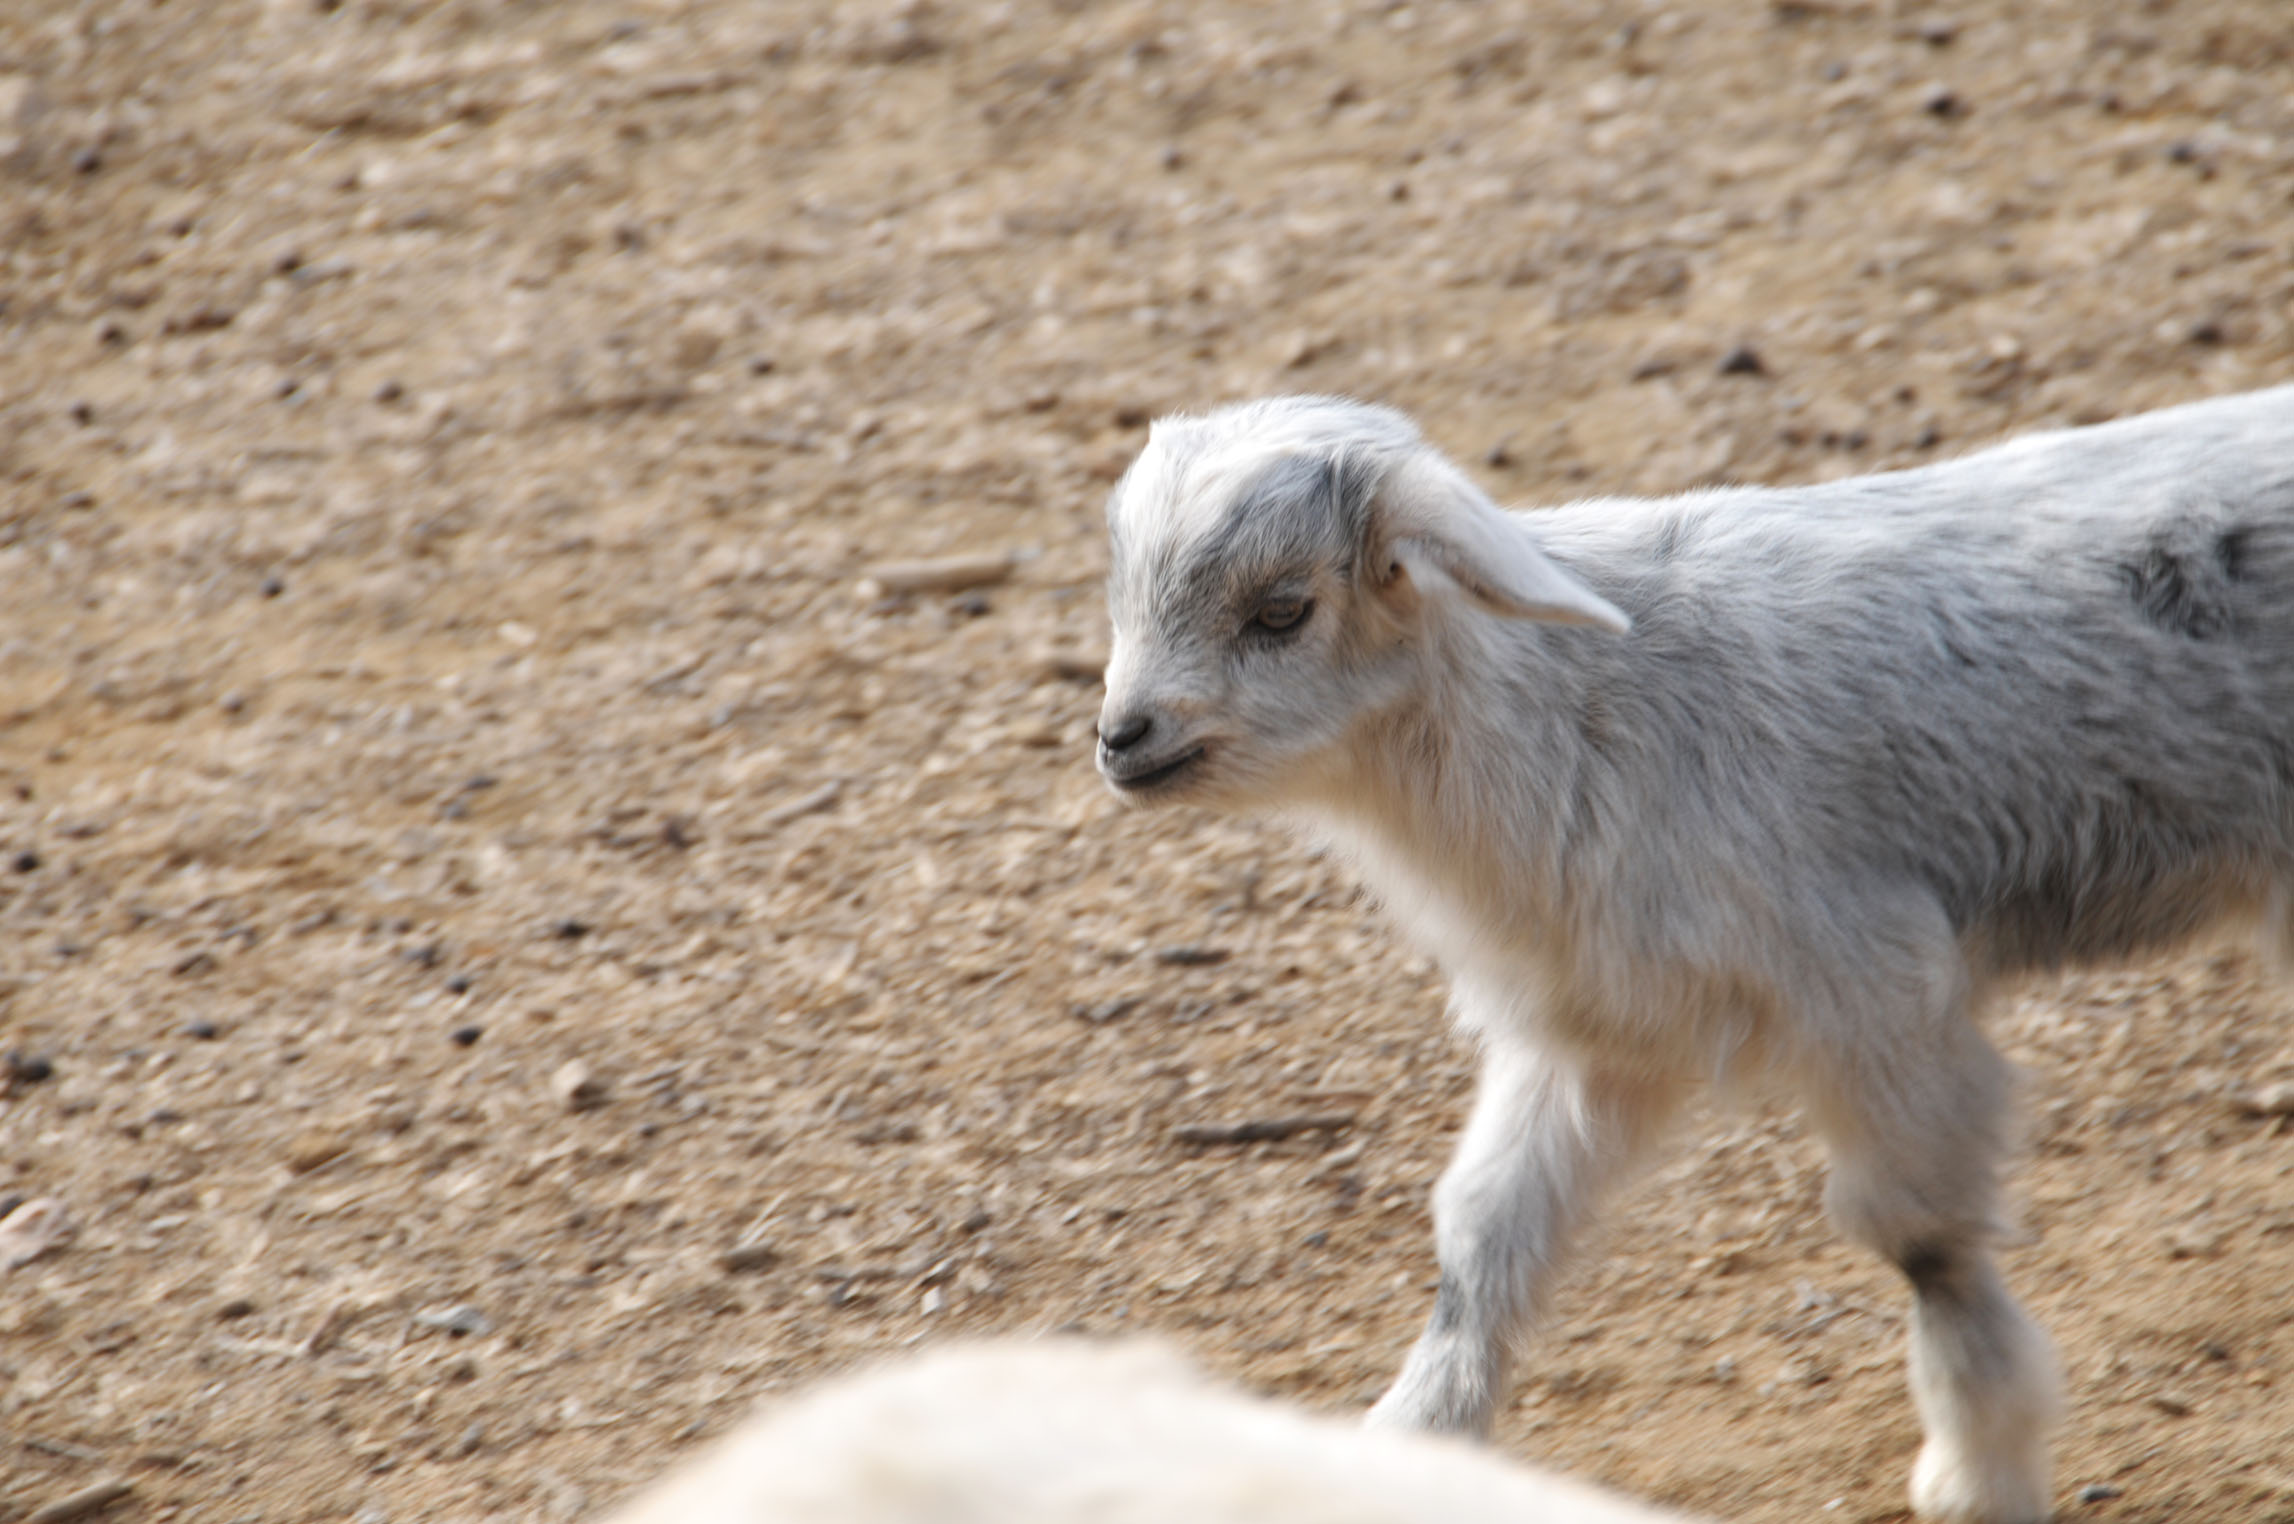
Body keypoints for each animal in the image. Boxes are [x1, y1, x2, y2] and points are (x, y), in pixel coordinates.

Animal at [1087, 383, 2294, 1524]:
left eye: (1282, 611)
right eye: (1121, 593)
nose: (1121, 739)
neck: (1583, 711)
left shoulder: (1875, 991)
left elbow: (1920, 1238)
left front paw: (1979, 1469)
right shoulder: (1601, 1029)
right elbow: (1481, 1235)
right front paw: (1404, 1450)